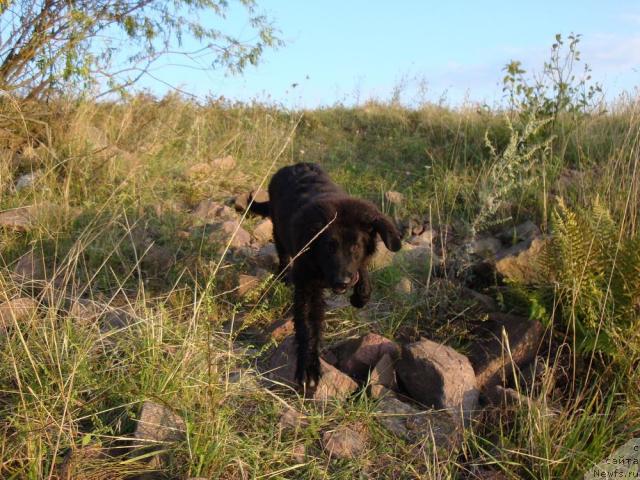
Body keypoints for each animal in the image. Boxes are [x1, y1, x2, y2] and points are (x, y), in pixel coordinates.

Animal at [250, 163, 400, 388]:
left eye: (356, 247)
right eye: (329, 247)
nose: (342, 282)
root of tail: (293, 166)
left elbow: (362, 270)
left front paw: (360, 295)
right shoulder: (307, 285)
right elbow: (307, 326)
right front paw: (308, 367)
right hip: (278, 229)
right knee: (283, 253)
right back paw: (284, 277)